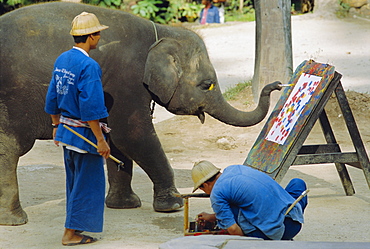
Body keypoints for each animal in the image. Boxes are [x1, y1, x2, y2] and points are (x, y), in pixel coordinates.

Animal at [0, 1, 280, 226]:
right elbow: (132, 135)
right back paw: (15, 220)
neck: (161, 33)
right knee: (10, 148)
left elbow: (115, 140)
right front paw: (173, 205)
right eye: (207, 84)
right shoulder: (126, 80)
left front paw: (124, 205)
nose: (276, 85)